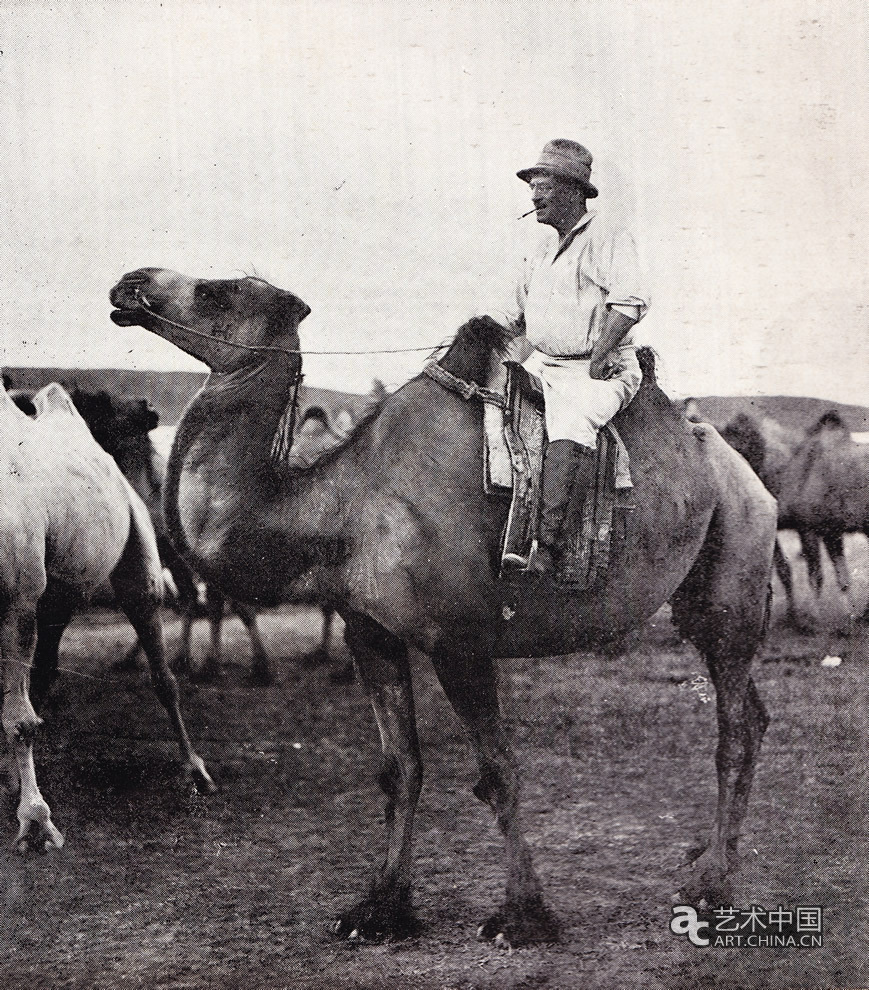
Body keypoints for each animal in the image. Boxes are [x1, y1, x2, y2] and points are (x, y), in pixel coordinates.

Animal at [0, 380, 214, 852]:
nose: (150, 411)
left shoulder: (17, 600)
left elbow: (21, 721)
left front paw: (36, 823)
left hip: (135, 559)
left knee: (162, 674)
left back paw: (196, 771)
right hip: (59, 594)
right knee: (44, 673)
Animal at [110, 270, 780, 944]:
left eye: (217, 291)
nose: (129, 285)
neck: (337, 508)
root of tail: (739, 467)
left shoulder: (460, 637)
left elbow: (498, 772)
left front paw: (522, 915)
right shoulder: (369, 629)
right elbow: (399, 767)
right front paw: (380, 907)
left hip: (737, 565)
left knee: (733, 724)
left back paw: (711, 884)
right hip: (703, 593)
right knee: (752, 711)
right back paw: (716, 859)